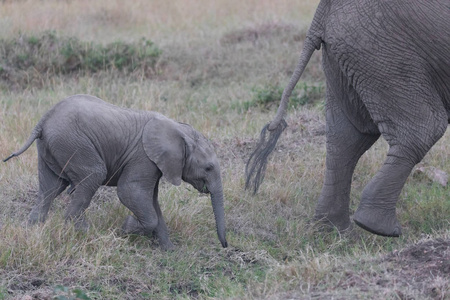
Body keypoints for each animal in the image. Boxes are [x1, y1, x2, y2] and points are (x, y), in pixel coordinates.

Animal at [3, 95, 227, 250]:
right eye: (208, 167)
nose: (225, 246)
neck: (179, 130)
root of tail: (43, 120)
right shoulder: (143, 158)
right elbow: (130, 192)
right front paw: (126, 228)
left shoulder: (154, 164)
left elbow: (152, 201)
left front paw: (169, 250)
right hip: (72, 142)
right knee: (93, 176)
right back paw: (84, 234)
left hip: (52, 146)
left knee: (50, 188)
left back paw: (33, 230)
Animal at [246, 1, 450, 238]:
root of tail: (325, 8)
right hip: (385, 48)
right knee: (424, 129)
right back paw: (378, 227)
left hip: (354, 50)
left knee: (347, 138)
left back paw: (331, 230)